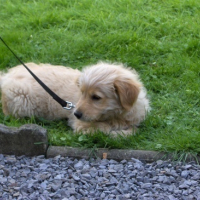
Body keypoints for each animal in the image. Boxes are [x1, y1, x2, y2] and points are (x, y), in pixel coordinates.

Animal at [0, 61, 150, 135]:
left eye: (96, 97)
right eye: (82, 93)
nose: (76, 114)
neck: (115, 115)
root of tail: (5, 76)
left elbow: (133, 129)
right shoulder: (81, 125)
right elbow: (104, 128)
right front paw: (115, 133)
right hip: (21, 99)